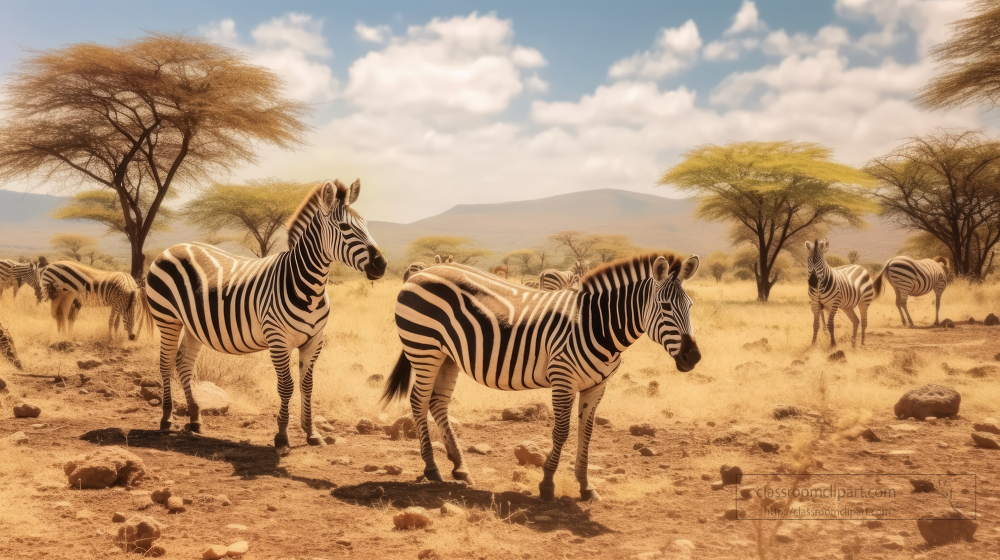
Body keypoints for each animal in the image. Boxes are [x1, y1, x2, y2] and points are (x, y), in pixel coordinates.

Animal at [145, 182, 386, 452]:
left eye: (366, 225)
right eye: (345, 228)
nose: (381, 265)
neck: (309, 286)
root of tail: (173, 247)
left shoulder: (315, 341)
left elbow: (308, 386)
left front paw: (311, 433)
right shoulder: (278, 339)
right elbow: (287, 386)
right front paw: (281, 436)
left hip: (193, 325)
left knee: (184, 364)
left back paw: (195, 419)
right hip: (167, 319)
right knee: (165, 363)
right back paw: (166, 419)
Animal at [382, 252, 704, 500]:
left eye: (690, 306)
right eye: (665, 307)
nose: (693, 357)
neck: (595, 324)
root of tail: (421, 272)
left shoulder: (596, 386)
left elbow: (586, 432)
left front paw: (586, 486)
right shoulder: (562, 378)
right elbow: (561, 431)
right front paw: (547, 483)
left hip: (448, 356)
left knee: (438, 403)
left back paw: (460, 468)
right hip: (424, 348)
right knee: (418, 400)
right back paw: (432, 468)